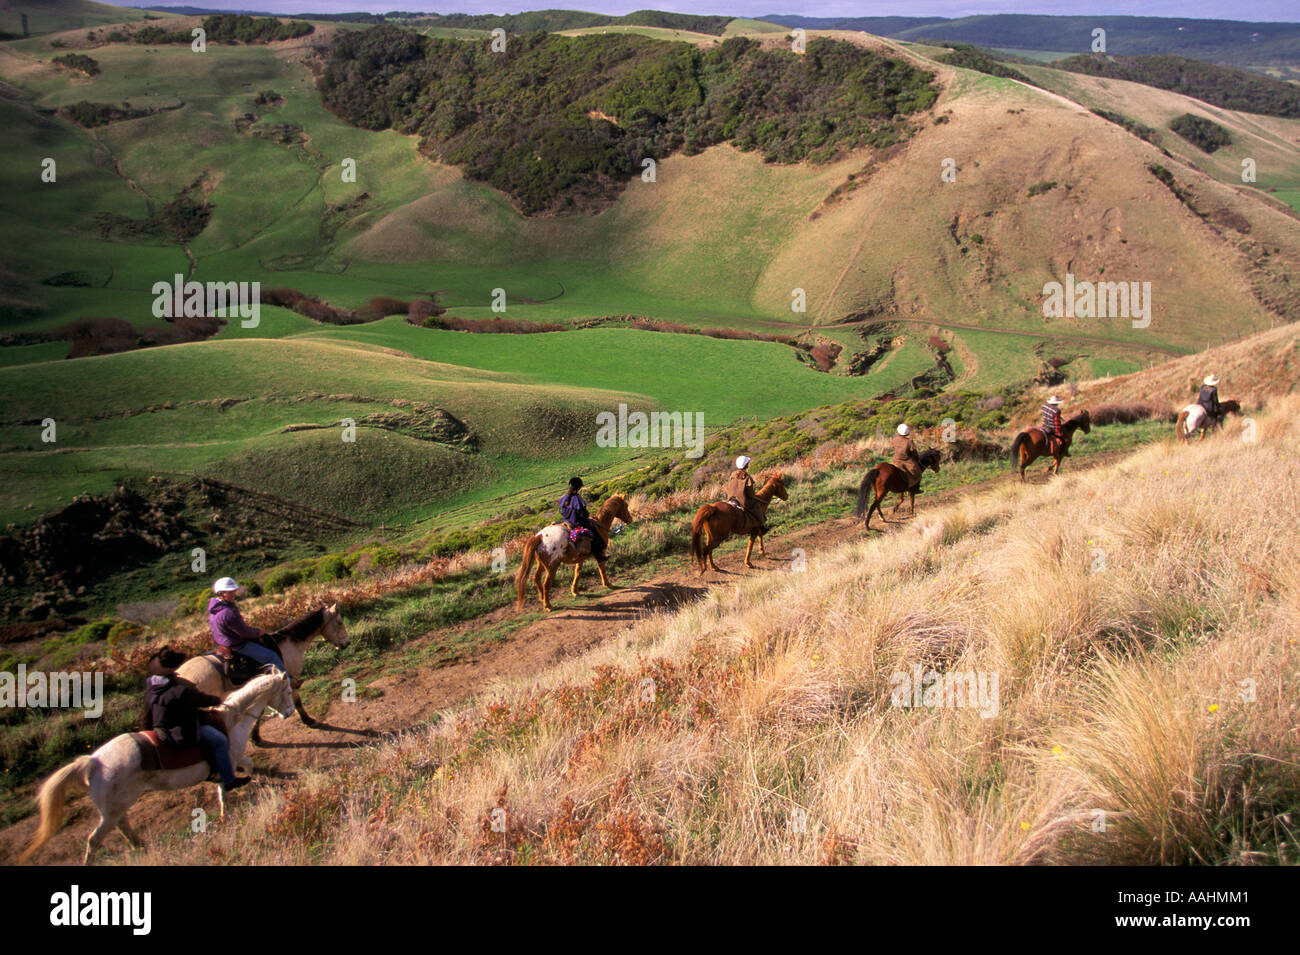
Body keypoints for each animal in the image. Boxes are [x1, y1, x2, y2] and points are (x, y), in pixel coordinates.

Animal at [19, 670, 293, 867]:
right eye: (287, 690)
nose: (289, 712)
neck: (230, 720)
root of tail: (93, 761)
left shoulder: (234, 759)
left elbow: (247, 768)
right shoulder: (229, 757)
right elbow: (229, 786)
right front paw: (236, 803)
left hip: (115, 808)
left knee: (123, 826)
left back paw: (140, 846)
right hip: (111, 812)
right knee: (94, 840)